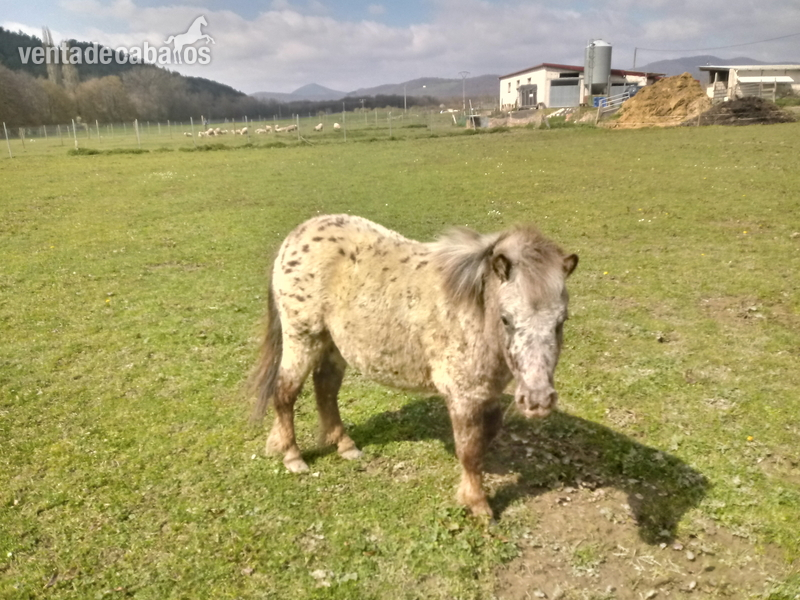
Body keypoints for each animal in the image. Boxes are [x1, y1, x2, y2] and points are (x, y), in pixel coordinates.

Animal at [252, 214, 578, 517]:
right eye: (506, 319)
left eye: (561, 321)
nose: (537, 400)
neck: (473, 310)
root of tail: (296, 236)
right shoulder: (463, 396)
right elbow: (470, 450)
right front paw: (478, 505)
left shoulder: (488, 394)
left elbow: (483, 441)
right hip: (302, 338)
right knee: (285, 392)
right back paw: (292, 456)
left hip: (332, 345)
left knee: (325, 390)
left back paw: (344, 446)